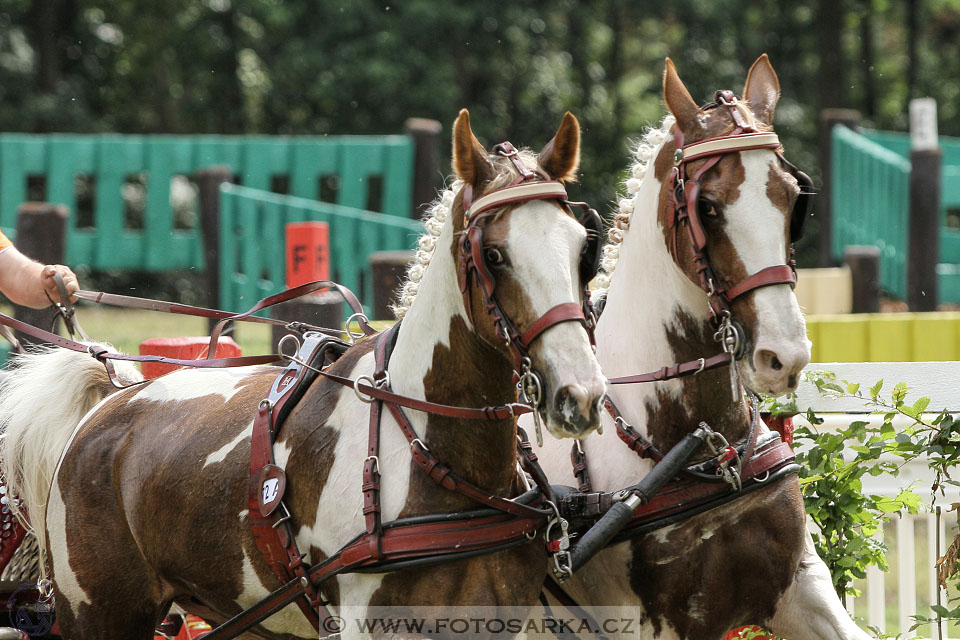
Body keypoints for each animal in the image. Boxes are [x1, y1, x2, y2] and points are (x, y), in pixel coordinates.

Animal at [0, 111, 604, 640]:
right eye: (494, 255)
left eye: (583, 250)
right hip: (100, 615)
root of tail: (108, 407)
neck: (436, 459)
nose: (580, 395)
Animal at [528, 56, 872, 640]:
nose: (784, 355)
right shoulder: (638, 620)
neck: (706, 448)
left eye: (793, 197)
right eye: (707, 207)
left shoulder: (800, 587)